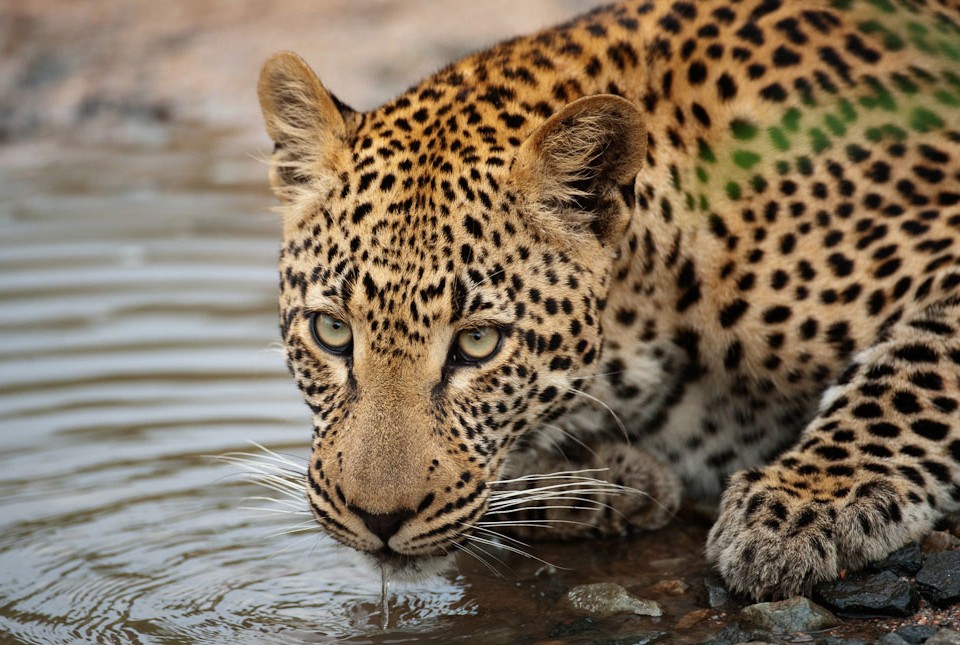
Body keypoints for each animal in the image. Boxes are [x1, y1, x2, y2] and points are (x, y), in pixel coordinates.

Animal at [255, 0, 960, 600]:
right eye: (332, 333)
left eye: (478, 343)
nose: (377, 520)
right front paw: (610, 483)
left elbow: (910, 375)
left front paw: (799, 509)